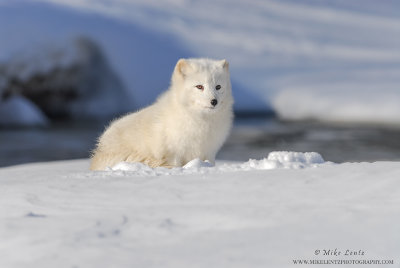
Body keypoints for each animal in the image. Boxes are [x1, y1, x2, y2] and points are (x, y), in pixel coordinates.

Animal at [90, 57, 234, 170]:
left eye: (218, 87)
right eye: (199, 87)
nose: (214, 101)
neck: (201, 122)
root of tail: (98, 151)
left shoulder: (208, 152)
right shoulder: (173, 152)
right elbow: (176, 165)